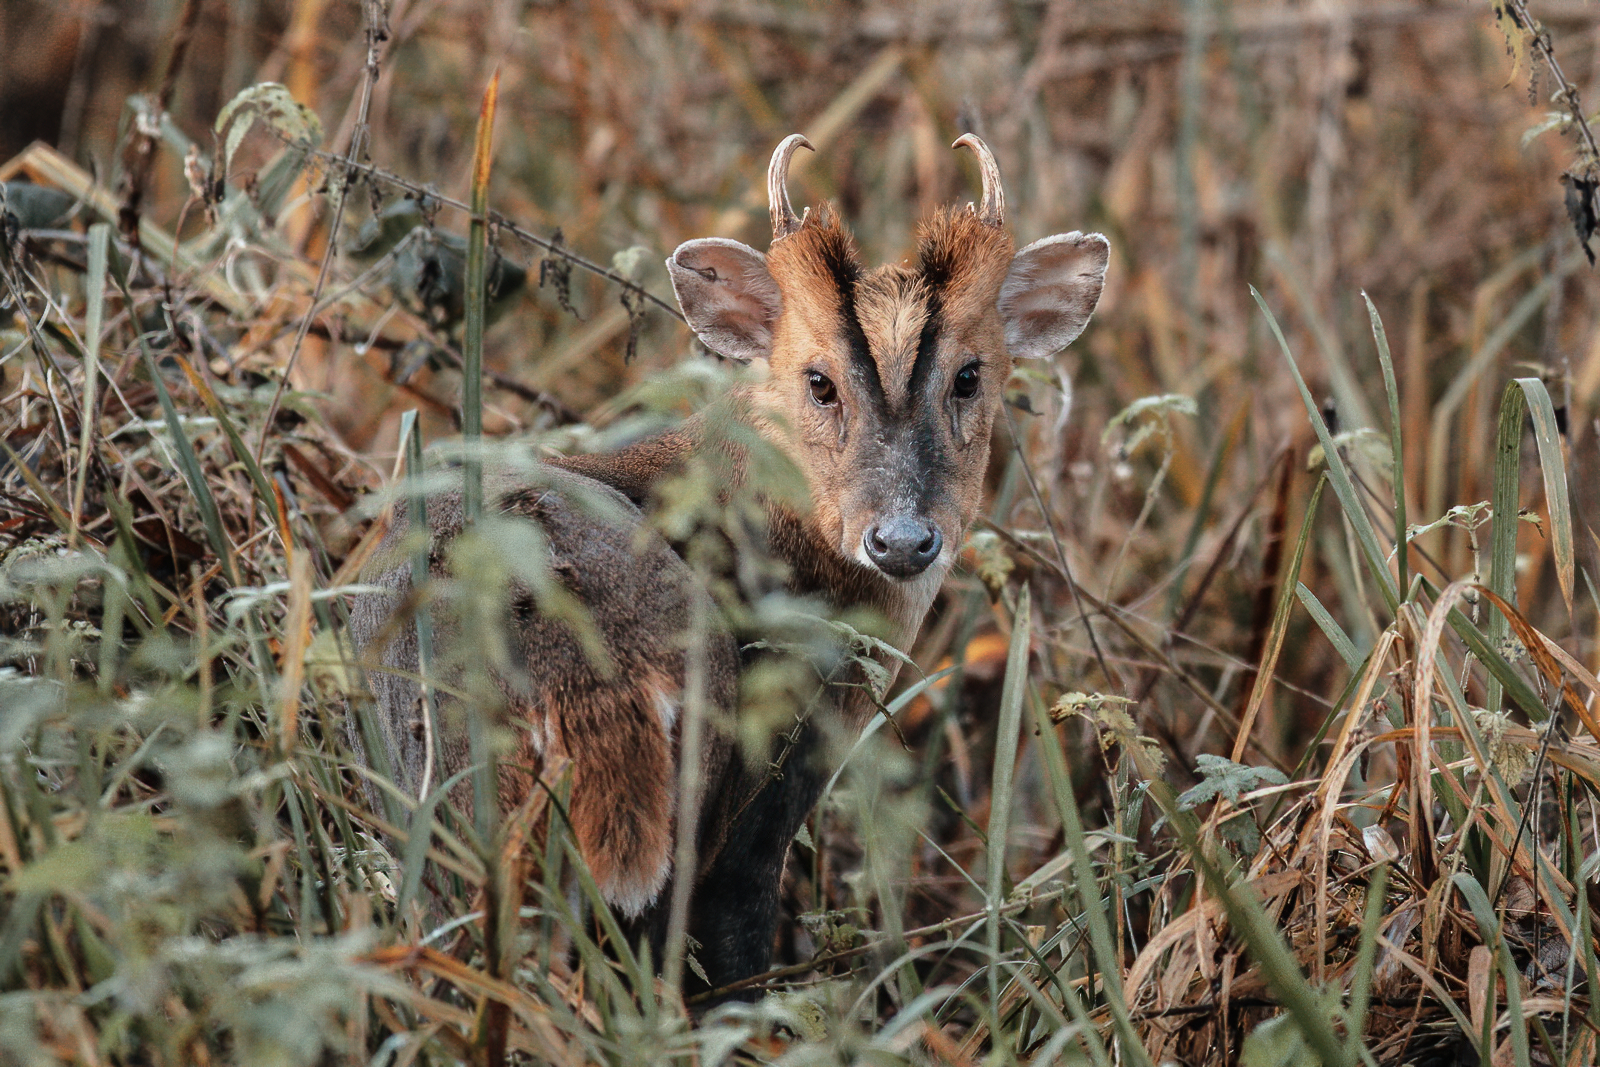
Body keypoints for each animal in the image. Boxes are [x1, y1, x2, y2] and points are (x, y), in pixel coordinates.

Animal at [352, 133, 1107, 991]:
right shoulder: (779, 773)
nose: (903, 540)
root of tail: (576, 671)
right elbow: (743, 932)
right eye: (819, 381)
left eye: (970, 375)